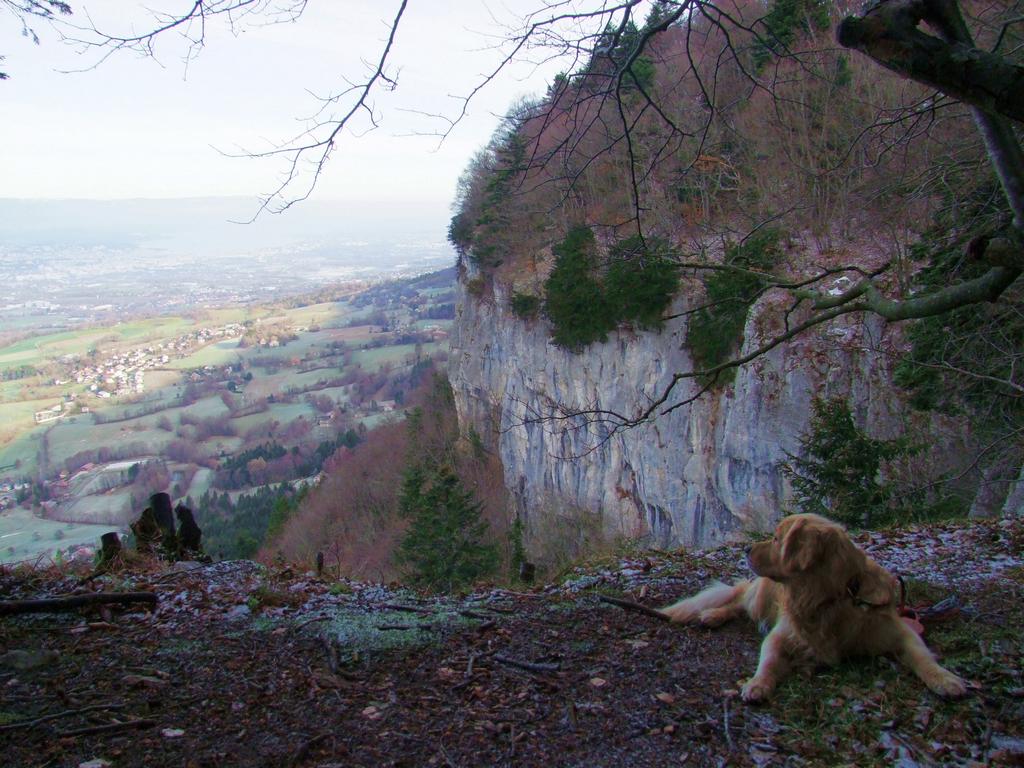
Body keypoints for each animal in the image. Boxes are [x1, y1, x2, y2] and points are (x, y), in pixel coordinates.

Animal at [663, 518, 966, 704]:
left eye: (777, 539)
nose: (746, 548)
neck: (832, 598)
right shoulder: (780, 634)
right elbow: (768, 660)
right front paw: (758, 684)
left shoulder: (898, 631)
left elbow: (923, 657)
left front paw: (945, 680)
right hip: (761, 595)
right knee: (739, 603)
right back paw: (712, 615)